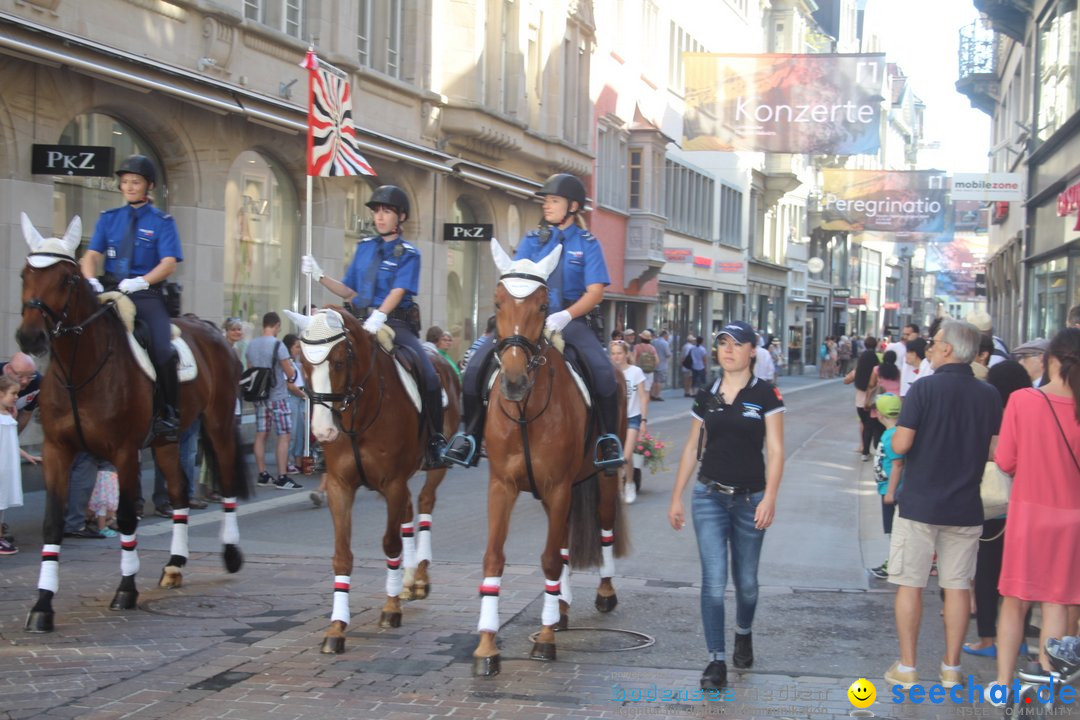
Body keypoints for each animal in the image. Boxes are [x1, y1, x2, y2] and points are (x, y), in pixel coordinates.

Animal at [15, 212, 248, 630]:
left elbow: (125, 517)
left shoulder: (124, 452)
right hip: (167, 440)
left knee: (227, 482)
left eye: (66, 279)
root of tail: (212, 331)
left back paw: (230, 552)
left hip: (219, 424)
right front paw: (43, 604)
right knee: (179, 491)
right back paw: (174, 564)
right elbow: (53, 523)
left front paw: (126, 589)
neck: (81, 368)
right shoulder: (58, 450)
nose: (30, 337)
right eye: (26, 273)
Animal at [282, 304, 460, 651]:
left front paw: (391, 608)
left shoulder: (392, 482)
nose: (322, 431)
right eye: (304, 364)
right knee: (408, 511)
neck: (358, 414)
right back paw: (407, 580)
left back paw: (419, 576)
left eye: (338, 361)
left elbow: (390, 544)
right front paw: (336, 628)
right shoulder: (340, 486)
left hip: (433, 468)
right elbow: (342, 556)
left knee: (424, 504)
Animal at [475, 239, 630, 677]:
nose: (513, 381)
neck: (526, 411)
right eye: (497, 302)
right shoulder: (502, 486)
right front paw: (487, 646)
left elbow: (546, 560)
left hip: (600, 480)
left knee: (604, 528)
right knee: (562, 544)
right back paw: (559, 608)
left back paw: (602, 593)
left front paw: (544, 640)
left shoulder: (559, 486)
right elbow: (494, 559)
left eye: (544, 306)